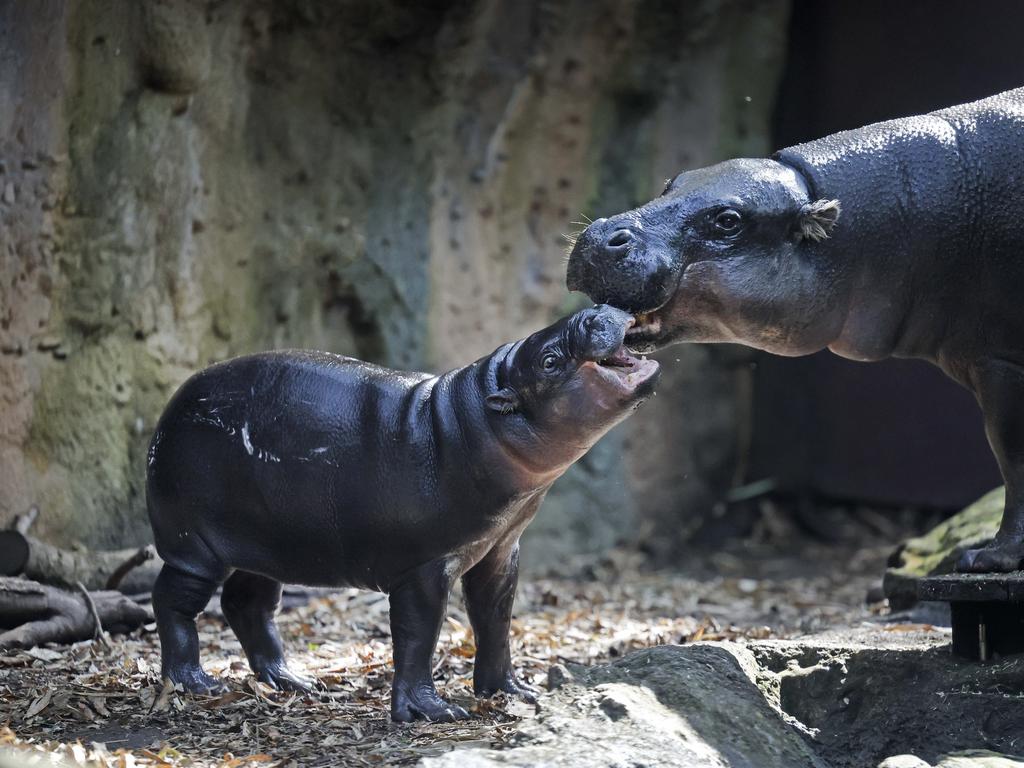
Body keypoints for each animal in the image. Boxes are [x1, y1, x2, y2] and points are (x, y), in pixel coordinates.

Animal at [144, 305, 659, 720]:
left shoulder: (498, 550)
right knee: (173, 599)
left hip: (269, 543)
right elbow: (417, 636)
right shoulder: (423, 567)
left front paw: (514, 692)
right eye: (549, 360)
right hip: (195, 545)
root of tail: (170, 407)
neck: (474, 422)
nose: (596, 309)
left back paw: (296, 682)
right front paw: (433, 712)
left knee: (247, 603)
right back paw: (196, 683)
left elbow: (496, 622)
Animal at [569, 88, 1024, 573]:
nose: (602, 233)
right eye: (673, 180)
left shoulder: (1002, 364)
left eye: (728, 219)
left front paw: (985, 558)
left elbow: (1013, 459)